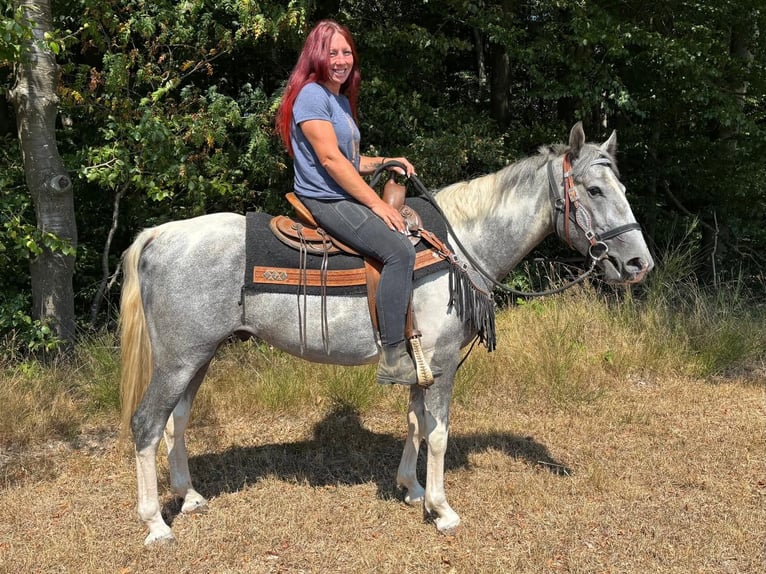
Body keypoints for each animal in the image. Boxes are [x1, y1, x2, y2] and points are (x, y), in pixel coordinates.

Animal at [119, 122, 653, 545]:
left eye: (623, 186)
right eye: (595, 190)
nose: (638, 264)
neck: (459, 244)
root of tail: (160, 235)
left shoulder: (421, 362)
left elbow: (415, 423)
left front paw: (411, 489)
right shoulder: (441, 363)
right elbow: (438, 433)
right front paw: (441, 509)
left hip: (198, 356)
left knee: (176, 421)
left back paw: (189, 497)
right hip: (179, 359)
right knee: (147, 424)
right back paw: (155, 524)